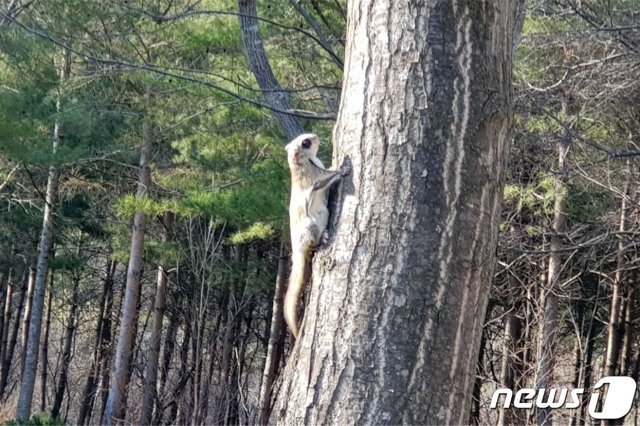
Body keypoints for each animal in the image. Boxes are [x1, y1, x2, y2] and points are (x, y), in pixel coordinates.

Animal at [286, 133, 352, 340]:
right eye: (305, 143)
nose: (314, 136)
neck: (299, 163)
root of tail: (297, 250)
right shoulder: (314, 177)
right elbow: (327, 178)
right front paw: (343, 169)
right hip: (311, 227)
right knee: (312, 245)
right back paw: (322, 238)